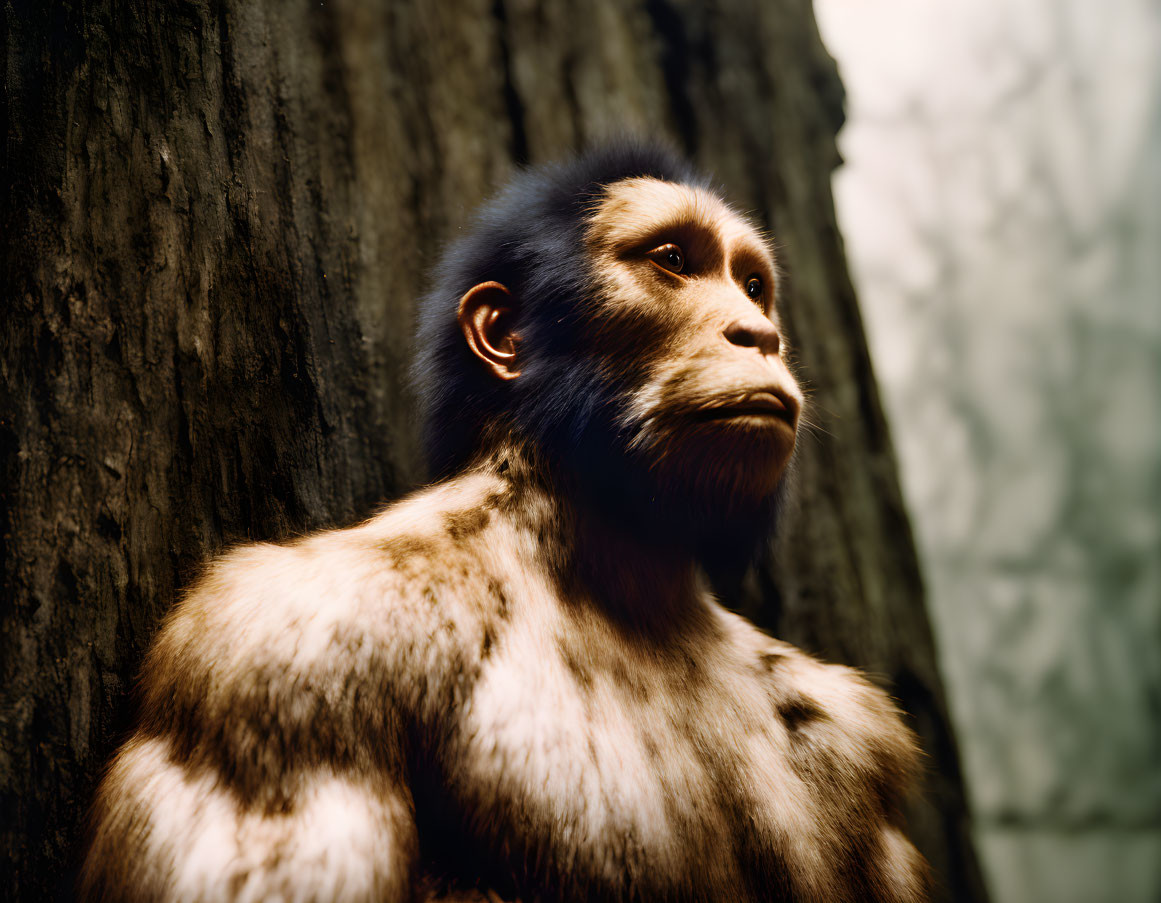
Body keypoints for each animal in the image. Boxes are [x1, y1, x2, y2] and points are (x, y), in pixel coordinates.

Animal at [79, 142, 933, 900]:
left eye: (753, 285)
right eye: (672, 259)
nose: (760, 335)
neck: (616, 569)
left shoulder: (854, 732)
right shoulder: (281, 651)